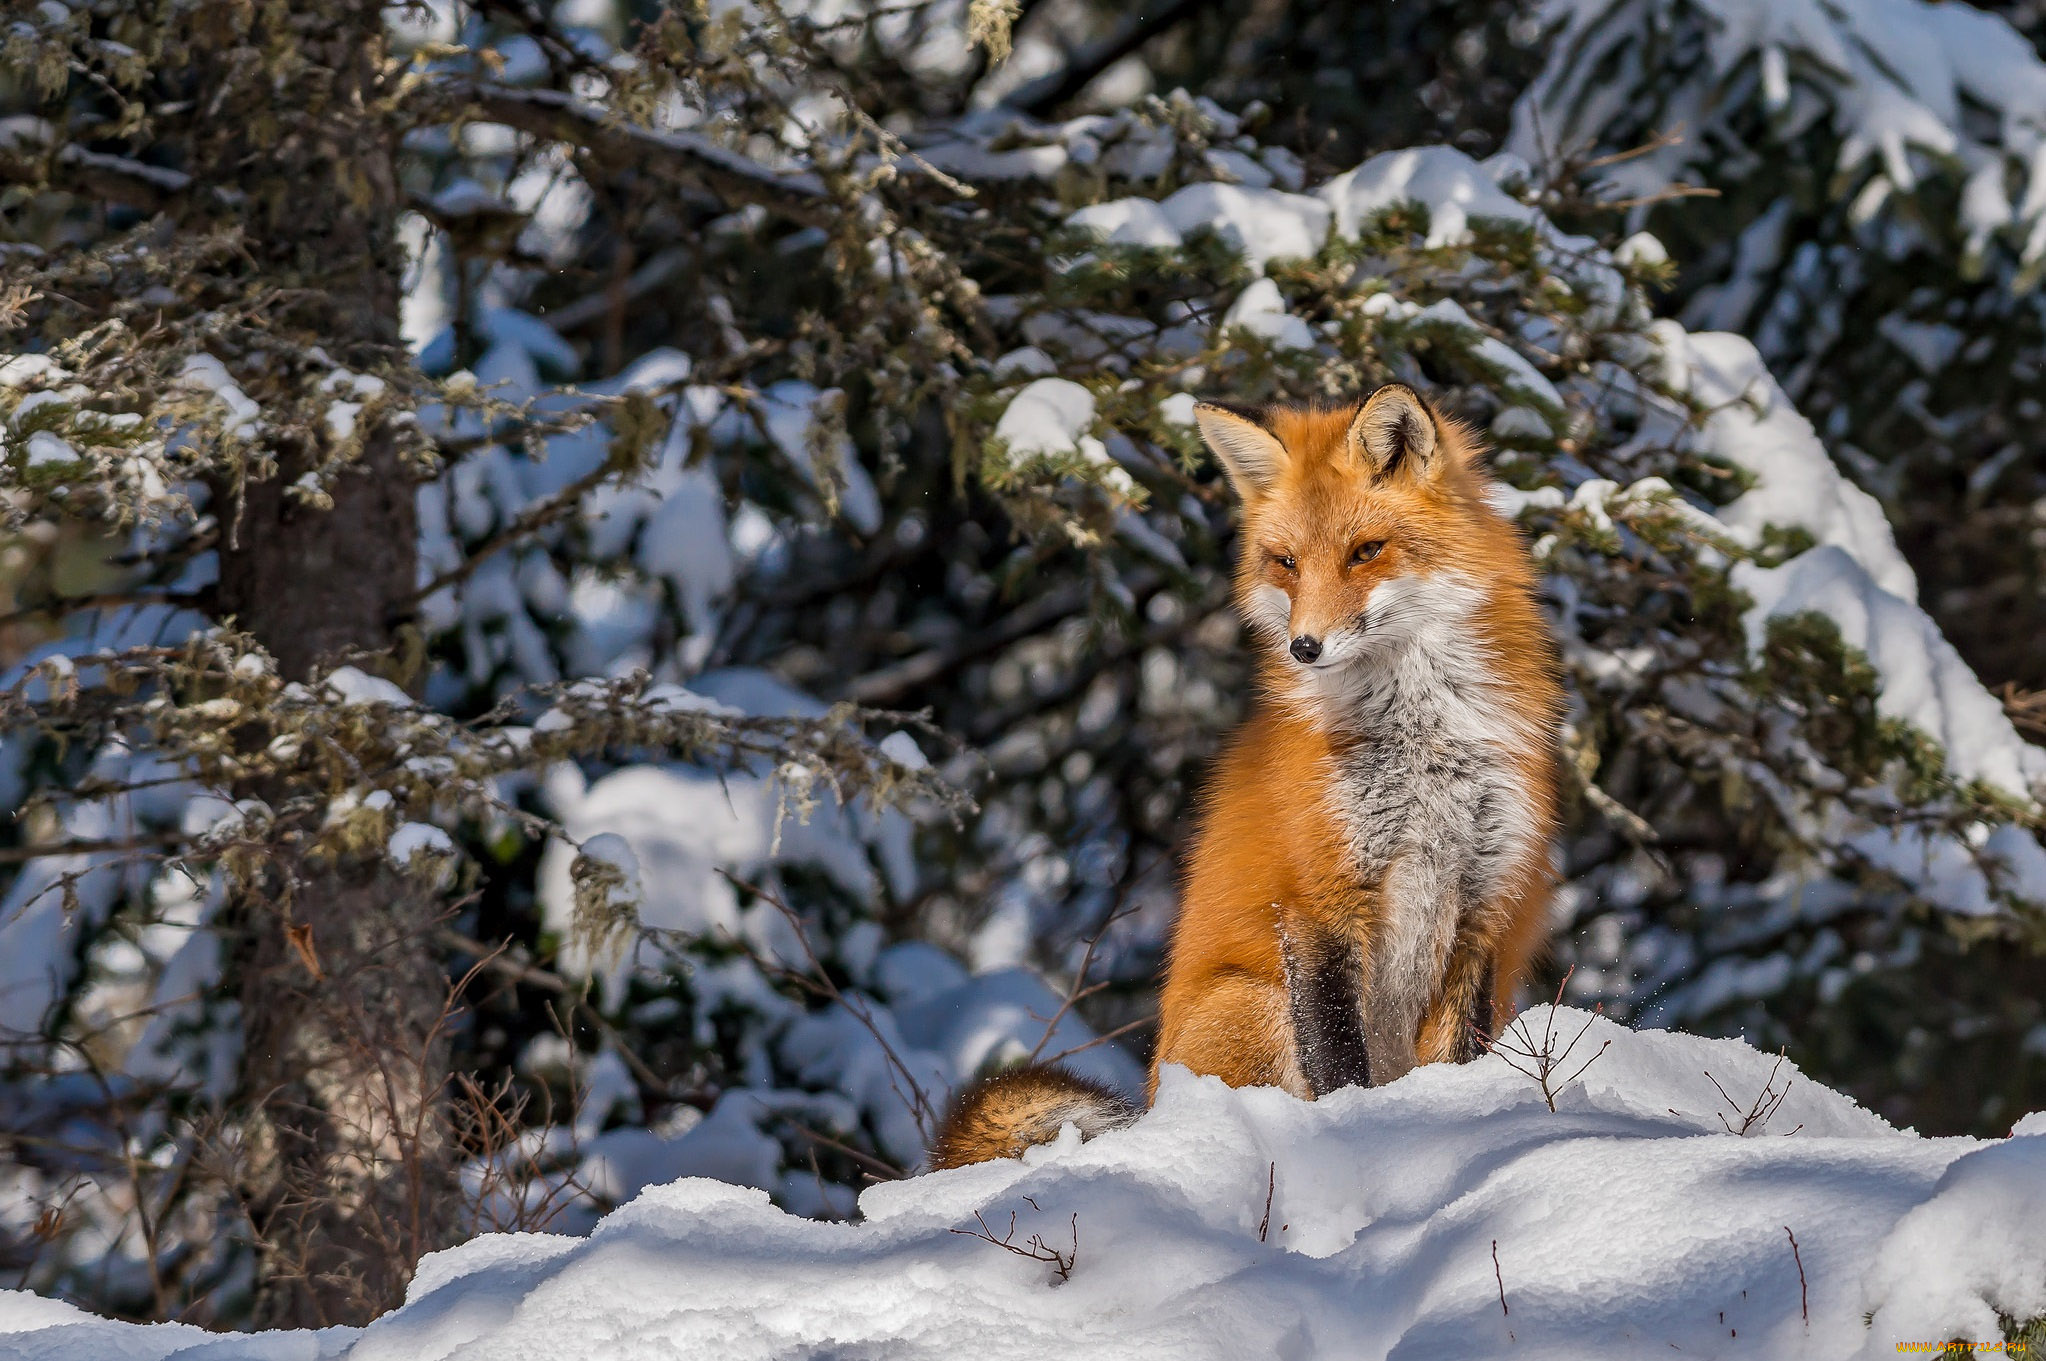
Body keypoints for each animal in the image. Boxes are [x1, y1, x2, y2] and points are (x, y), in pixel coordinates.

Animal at [929, 384, 1562, 1170]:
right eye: (1286, 562)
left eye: (1367, 552)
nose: (1304, 647)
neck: (1420, 744)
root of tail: (1153, 1101)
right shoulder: (1319, 897)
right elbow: (1337, 1060)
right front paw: (1361, 1139)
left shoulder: (1483, 902)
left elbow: (1460, 1057)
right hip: (1251, 1001)